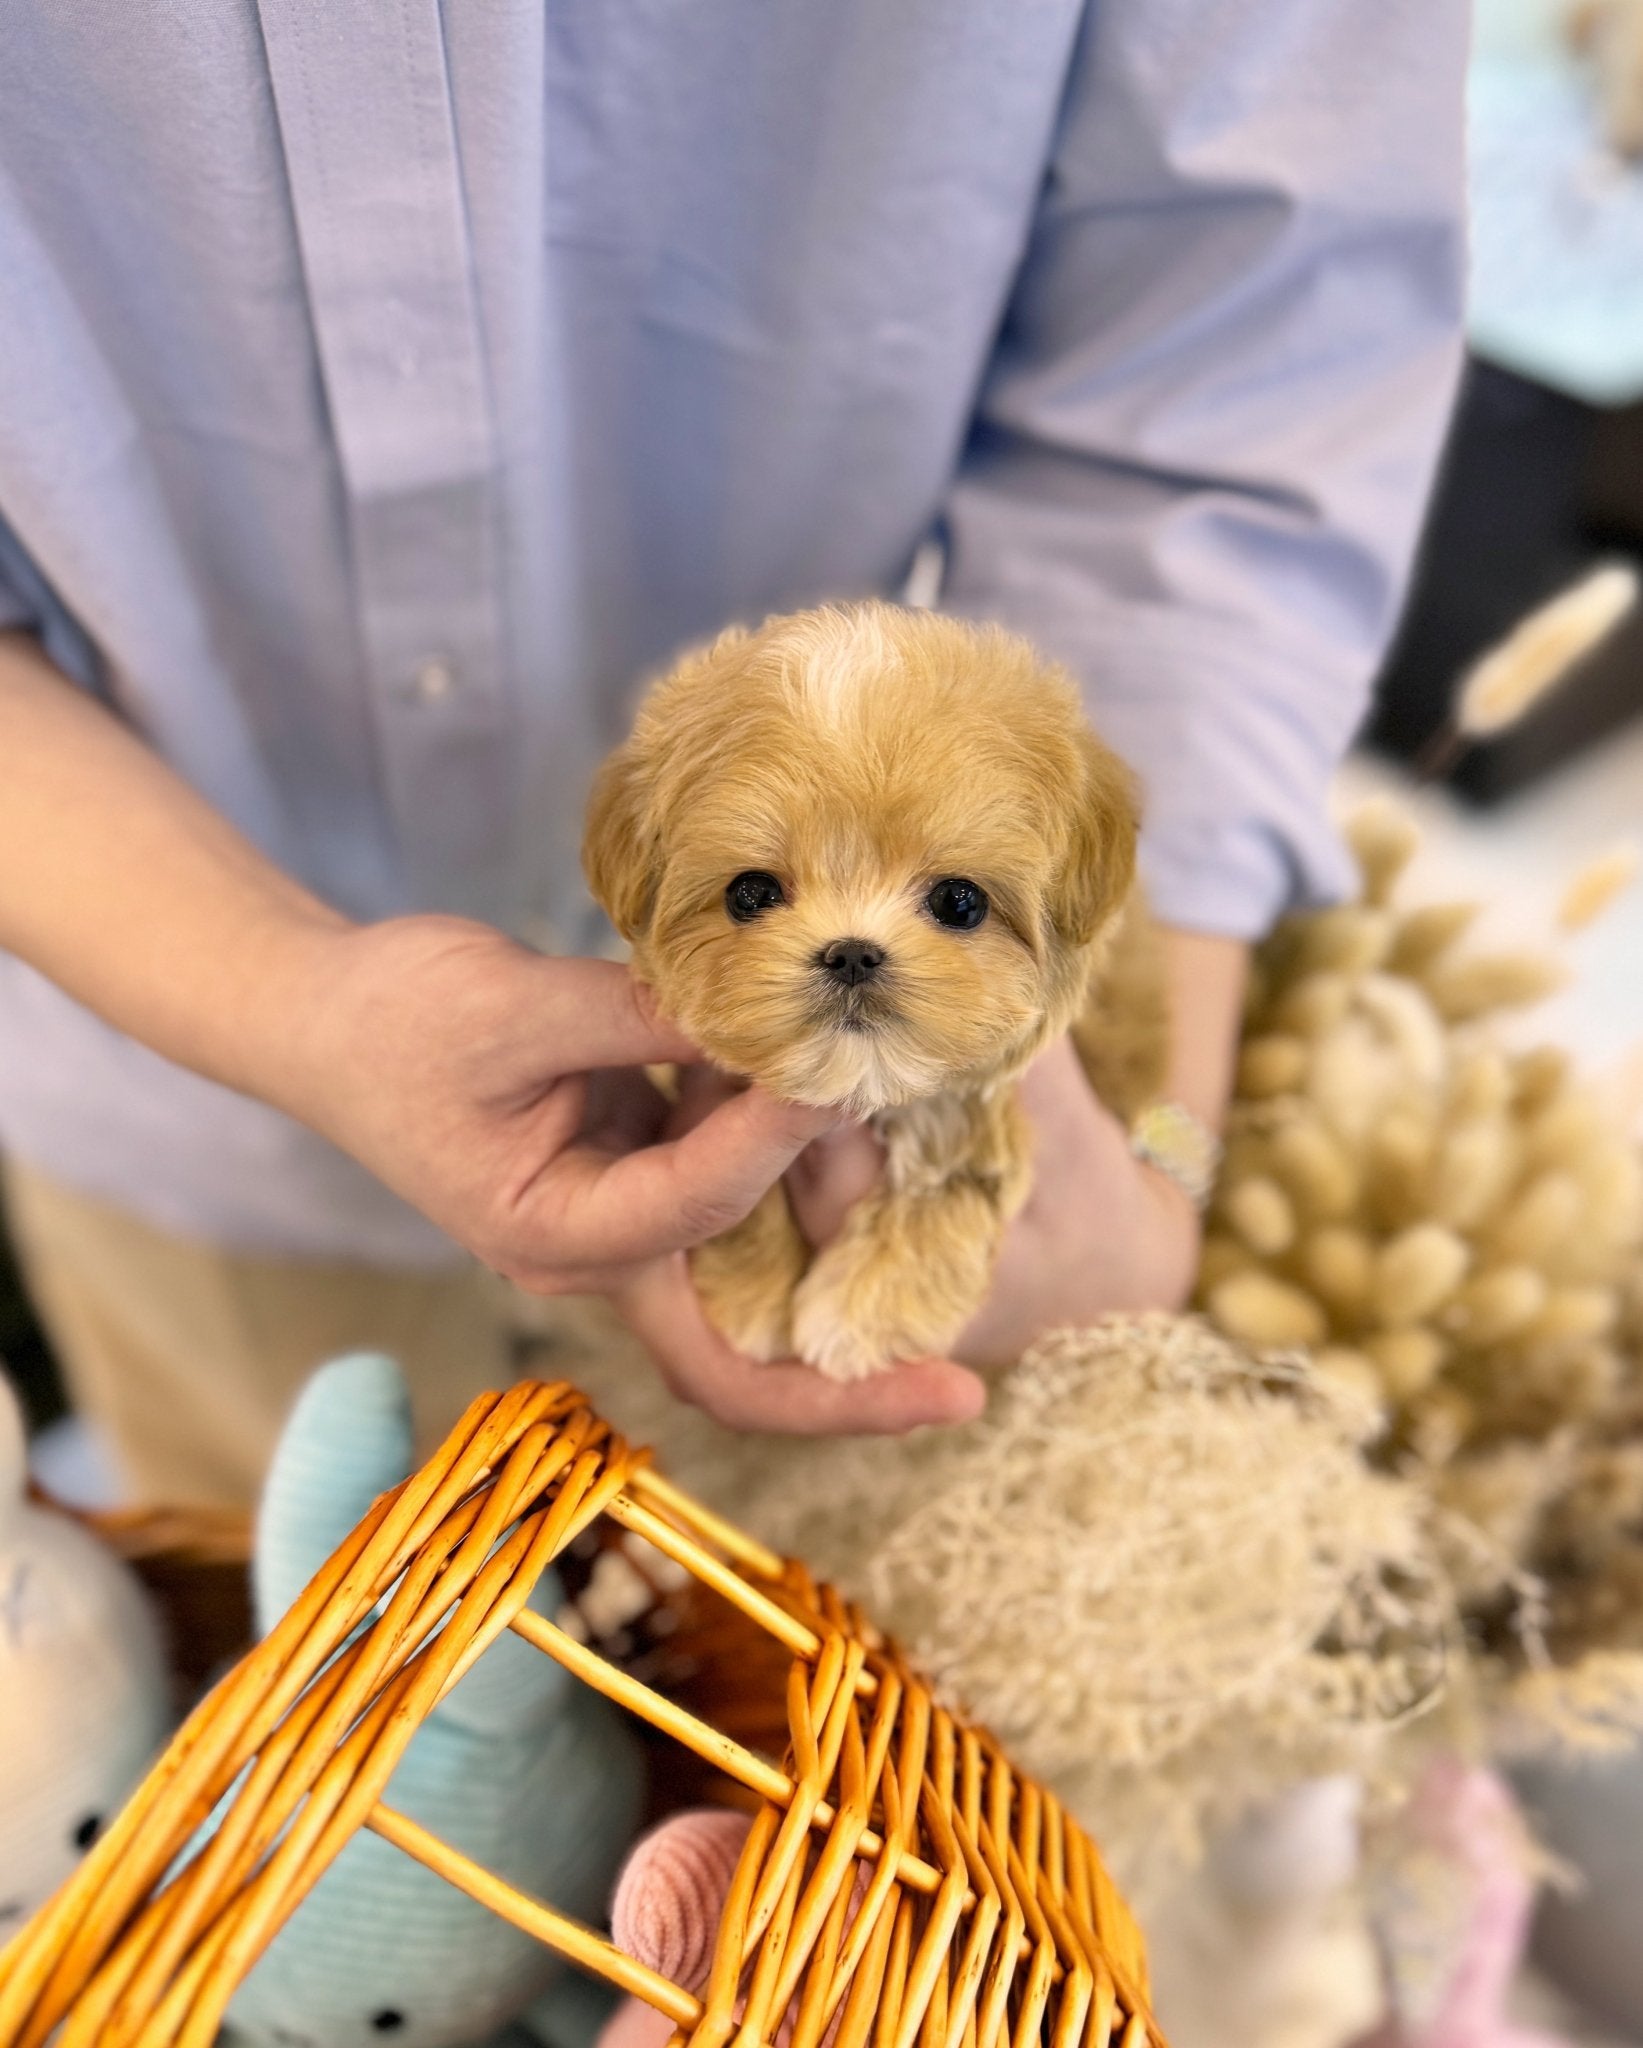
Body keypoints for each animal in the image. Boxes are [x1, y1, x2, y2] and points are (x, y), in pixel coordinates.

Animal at [581, 598, 1155, 1384]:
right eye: (749, 893)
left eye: (959, 902)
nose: (851, 953)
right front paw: (753, 1289)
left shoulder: (980, 1122)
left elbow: (948, 1190)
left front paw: (861, 1313)